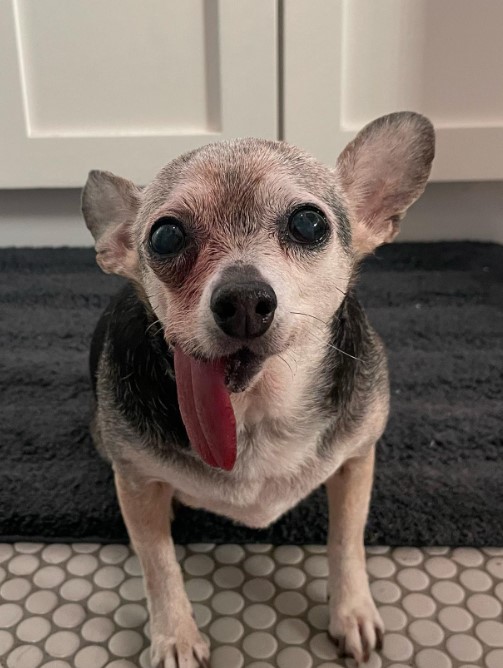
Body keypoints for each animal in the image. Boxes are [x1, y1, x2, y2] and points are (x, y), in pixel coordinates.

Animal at [81, 112, 434, 664]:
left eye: (310, 224)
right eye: (164, 237)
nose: (245, 299)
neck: (254, 407)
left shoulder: (357, 460)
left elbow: (347, 540)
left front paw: (351, 611)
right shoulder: (135, 482)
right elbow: (158, 564)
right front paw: (175, 636)